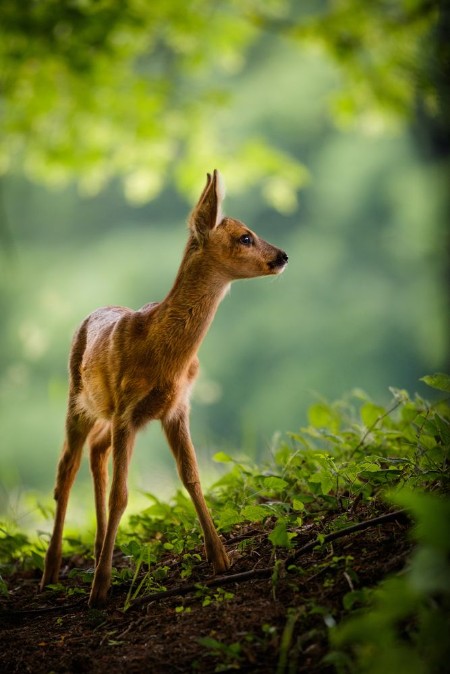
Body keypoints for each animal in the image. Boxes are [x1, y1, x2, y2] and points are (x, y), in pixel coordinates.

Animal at [40, 169, 288, 607]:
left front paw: (220, 557)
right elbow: (123, 494)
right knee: (65, 472)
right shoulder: (127, 411)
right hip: (77, 402)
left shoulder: (175, 408)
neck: (163, 353)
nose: (283, 256)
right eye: (245, 236)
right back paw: (52, 570)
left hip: (107, 413)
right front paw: (100, 588)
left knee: (96, 452)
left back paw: (101, 546)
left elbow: (191, 476)